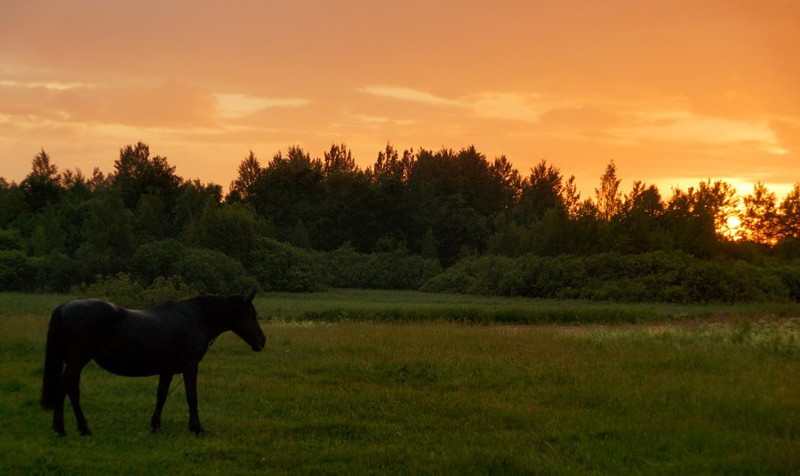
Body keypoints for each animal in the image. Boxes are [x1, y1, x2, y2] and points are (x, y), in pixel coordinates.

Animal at [39, 290, 266, 436]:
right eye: (252, 314)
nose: (262, 341)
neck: (195, 318)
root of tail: (64, 308)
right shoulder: (190, 367)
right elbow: (192, 397)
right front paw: (197, 428)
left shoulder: (167, 370)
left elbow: (161, 397)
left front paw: (155, 426)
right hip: (77, 361)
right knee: (66, 389)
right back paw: (68, 429)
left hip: (74, 362)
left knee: (69, 390)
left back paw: (75, 428)